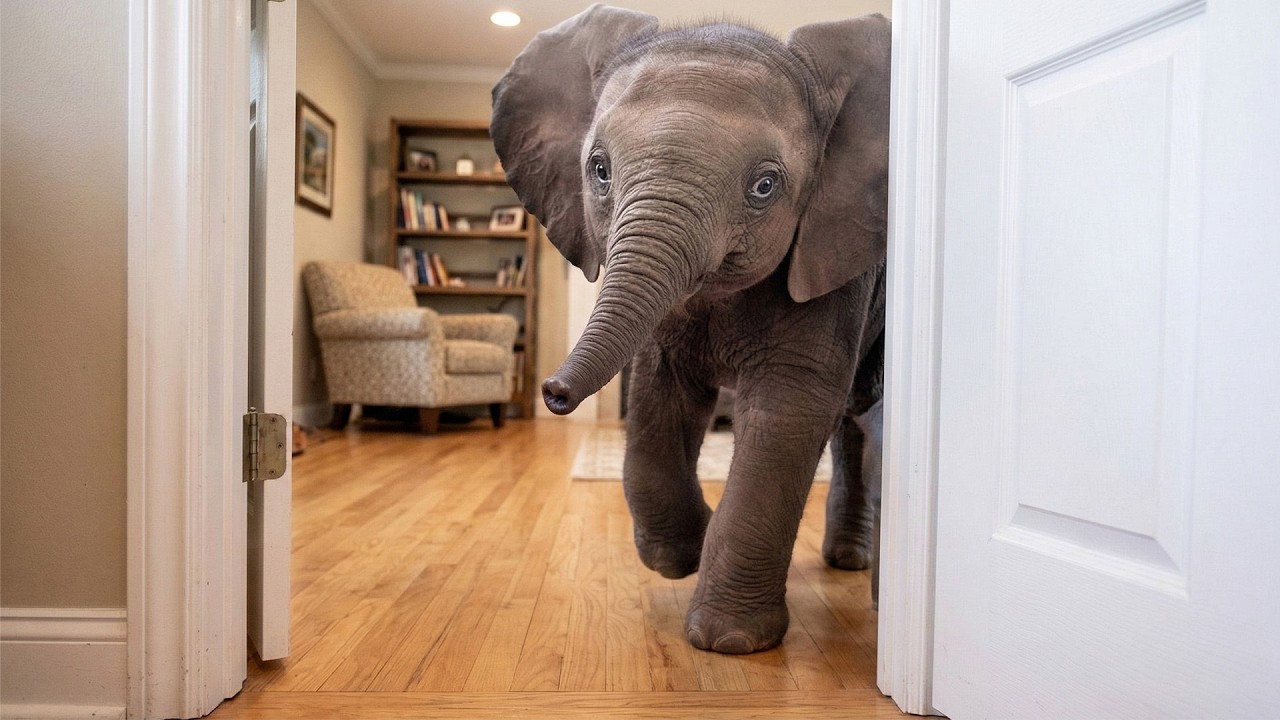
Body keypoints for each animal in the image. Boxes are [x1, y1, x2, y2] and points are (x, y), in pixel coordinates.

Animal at [491, 5, 889, 654]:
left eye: (765, 185)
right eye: (598, 169)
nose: (551, 392)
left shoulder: (833, 253)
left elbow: (789, 407)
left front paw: (728, 641)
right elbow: (660, 392)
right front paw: (679, 558)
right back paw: (847, 562)